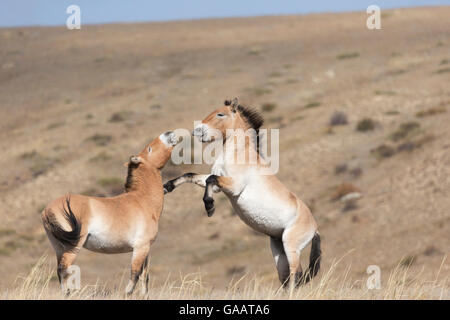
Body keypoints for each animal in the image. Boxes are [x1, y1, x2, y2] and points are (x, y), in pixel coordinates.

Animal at [40, 131, 178, 296]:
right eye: (149, 148)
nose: (169, 133)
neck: (141, 199)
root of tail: (47, 210)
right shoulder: (140, 248)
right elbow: (135, 274)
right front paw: (127, 293)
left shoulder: (146, 249)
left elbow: (144, 277)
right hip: (72, 247)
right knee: (64, 269)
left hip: (59, 248)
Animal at [164, 98, 320, 288]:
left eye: (220, 114)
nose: (197, 131)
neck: (238, 154)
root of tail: (315, 228)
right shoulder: (219, 185)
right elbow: (192, 176)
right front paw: (167, 187)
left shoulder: (234, 186)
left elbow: (210, 180)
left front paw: (209, 207)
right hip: (278, 249)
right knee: (286, 278)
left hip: (291, 247)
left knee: (296, 276)